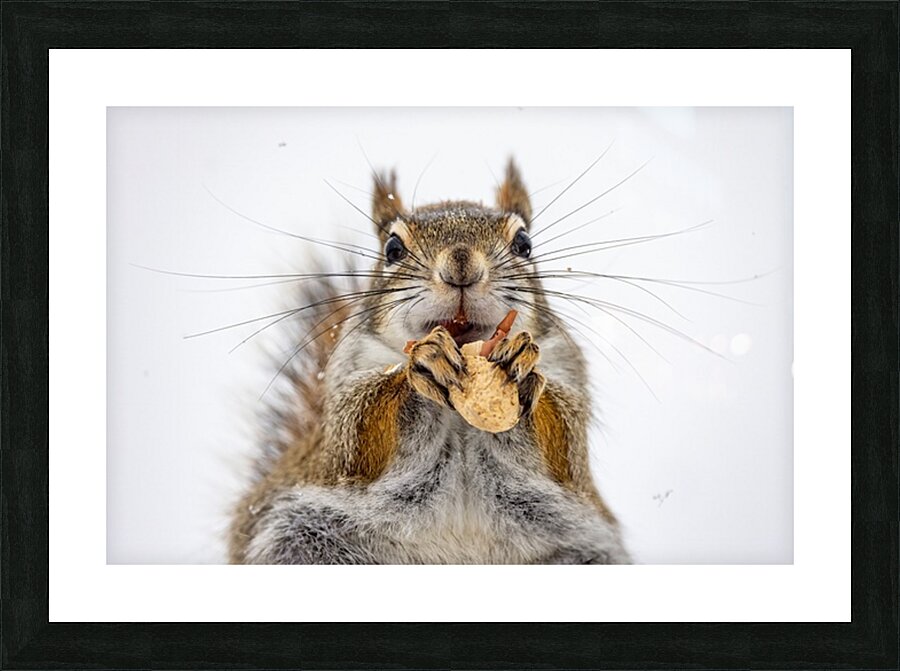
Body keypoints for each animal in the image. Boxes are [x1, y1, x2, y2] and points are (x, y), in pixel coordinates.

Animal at [227, 159, 631, 564]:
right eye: (392, 248)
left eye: (524, 244)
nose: (461, 265)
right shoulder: (343, 386)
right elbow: (355, 437)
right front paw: (421, 364)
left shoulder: (569, 371)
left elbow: (564, 443)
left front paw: (522, 368)